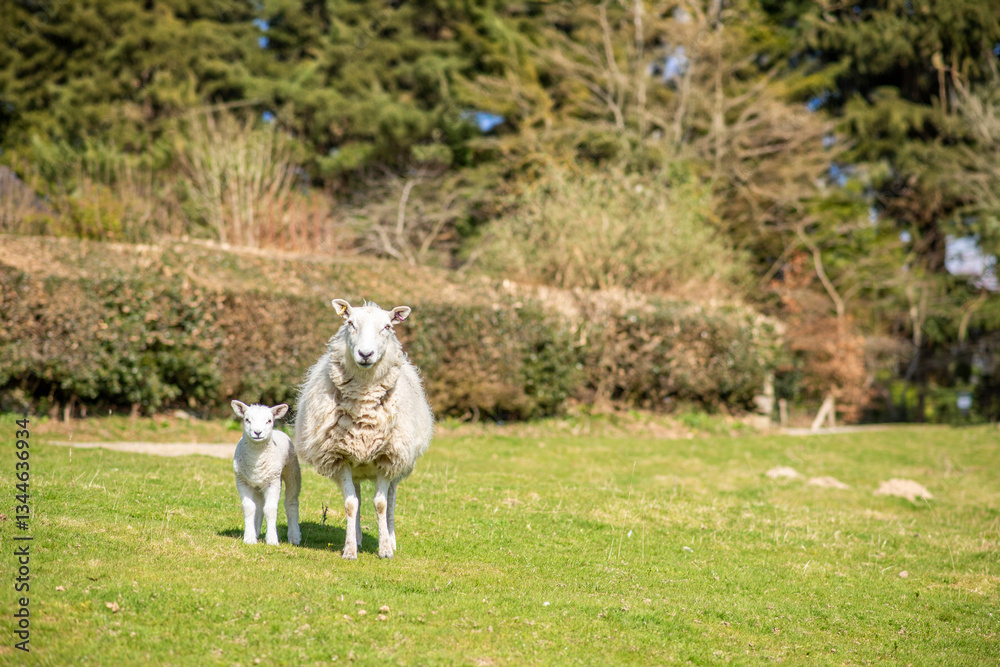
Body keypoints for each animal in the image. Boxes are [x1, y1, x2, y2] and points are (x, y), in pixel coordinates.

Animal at [231, 400, 302, 546]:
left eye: (269, 420)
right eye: (247, 420)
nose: (257, 432)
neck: (256, 460)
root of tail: (278, 431)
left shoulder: (273, 482)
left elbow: (270, 509)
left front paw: (272, 540)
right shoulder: (242, 481)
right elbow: (249, 508)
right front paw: (249, 538)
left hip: (292, 471)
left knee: (291, 502)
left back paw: (294, 536)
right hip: (258, 484)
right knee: (258, 506)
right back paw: (256, 532)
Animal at [295, 299, 434, 559]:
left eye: (387, 326)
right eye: (350, 323)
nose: (365, 354)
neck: (364, 403)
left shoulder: (388, 458)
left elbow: (381, 504)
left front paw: (385, 549)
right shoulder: (339, 457)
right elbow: (351, 504)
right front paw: (349, 549)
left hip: (400, 464)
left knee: (391, 499)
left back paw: (391, 537)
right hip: (356, 466)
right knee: (357, 495)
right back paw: (358, 538)